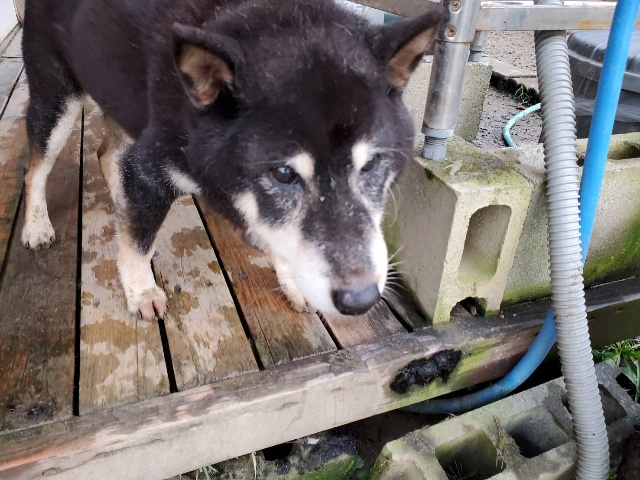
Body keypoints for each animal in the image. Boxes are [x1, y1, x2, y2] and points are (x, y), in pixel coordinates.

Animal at [21, 0, 443, 320]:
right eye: (284, 174)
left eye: (371, 165)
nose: (361, 300)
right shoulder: (151, 168)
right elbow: (139, 244)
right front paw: (141, 292)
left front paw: (293, 282)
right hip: (57, 100)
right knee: (35, 169)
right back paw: (37, 226)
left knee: (108, 154)